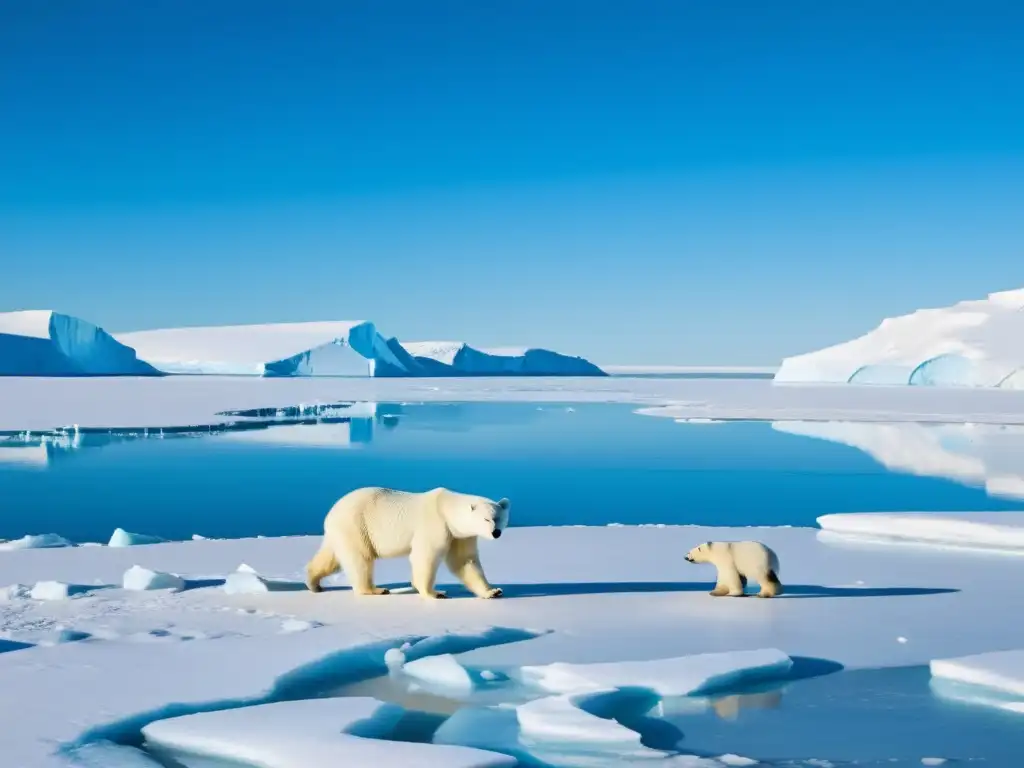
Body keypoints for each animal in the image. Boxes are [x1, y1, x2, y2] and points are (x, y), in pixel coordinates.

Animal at [303, 487, 512, 602]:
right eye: (486, 519)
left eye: (499, 518)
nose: (496, 532)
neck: (446, 508)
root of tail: (331, 512)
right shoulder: (435, 526)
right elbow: (425, 557)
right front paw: (435, 593)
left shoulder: (460, 535)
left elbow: (464, 561)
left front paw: (493, 591)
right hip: (357, 526)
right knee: (361, 559)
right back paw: (375, 590)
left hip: (341, 532)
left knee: (330, 558)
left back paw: (314, 583)